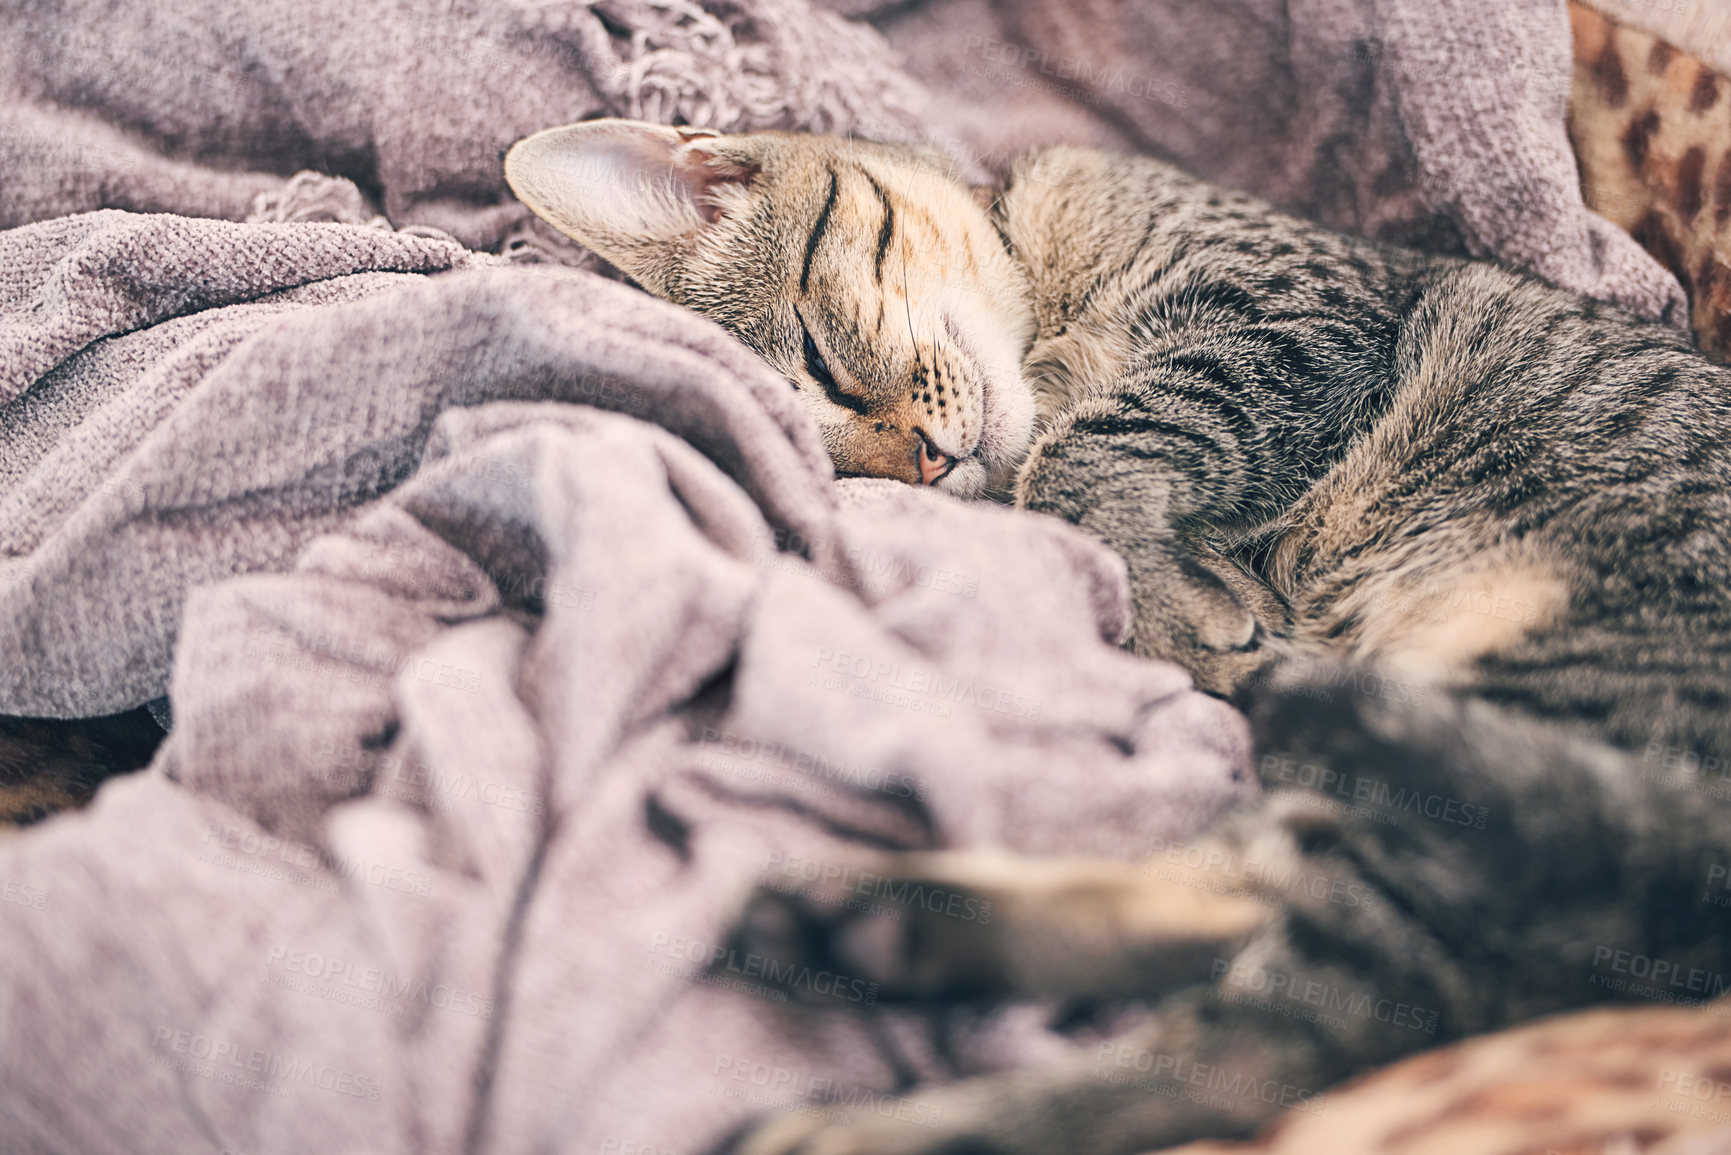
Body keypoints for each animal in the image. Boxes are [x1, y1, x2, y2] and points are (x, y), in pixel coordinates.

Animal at [505, 122, 1731, 1149]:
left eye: (817, 355)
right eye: (849, 470)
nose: (927, 465)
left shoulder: (1278, 311)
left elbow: (1095, 450)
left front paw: (1181, 603)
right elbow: (1081, 470)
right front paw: (1200, 602)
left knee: (1310, 1025)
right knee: (1295, 987)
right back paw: (874, 934)